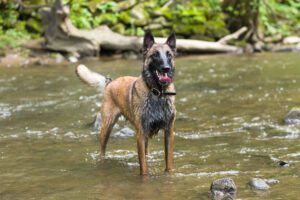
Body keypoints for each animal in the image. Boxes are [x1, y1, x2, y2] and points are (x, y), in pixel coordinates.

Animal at [76, 31, 177, 175]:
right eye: (155, 54)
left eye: (169, 54)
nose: (166, 68)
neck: (157, 93)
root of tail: (110, 82)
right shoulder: (140, 134)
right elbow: (143, 167)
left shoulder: (168, 132)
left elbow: (168, 161)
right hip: (106, 128)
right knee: (102, 151)